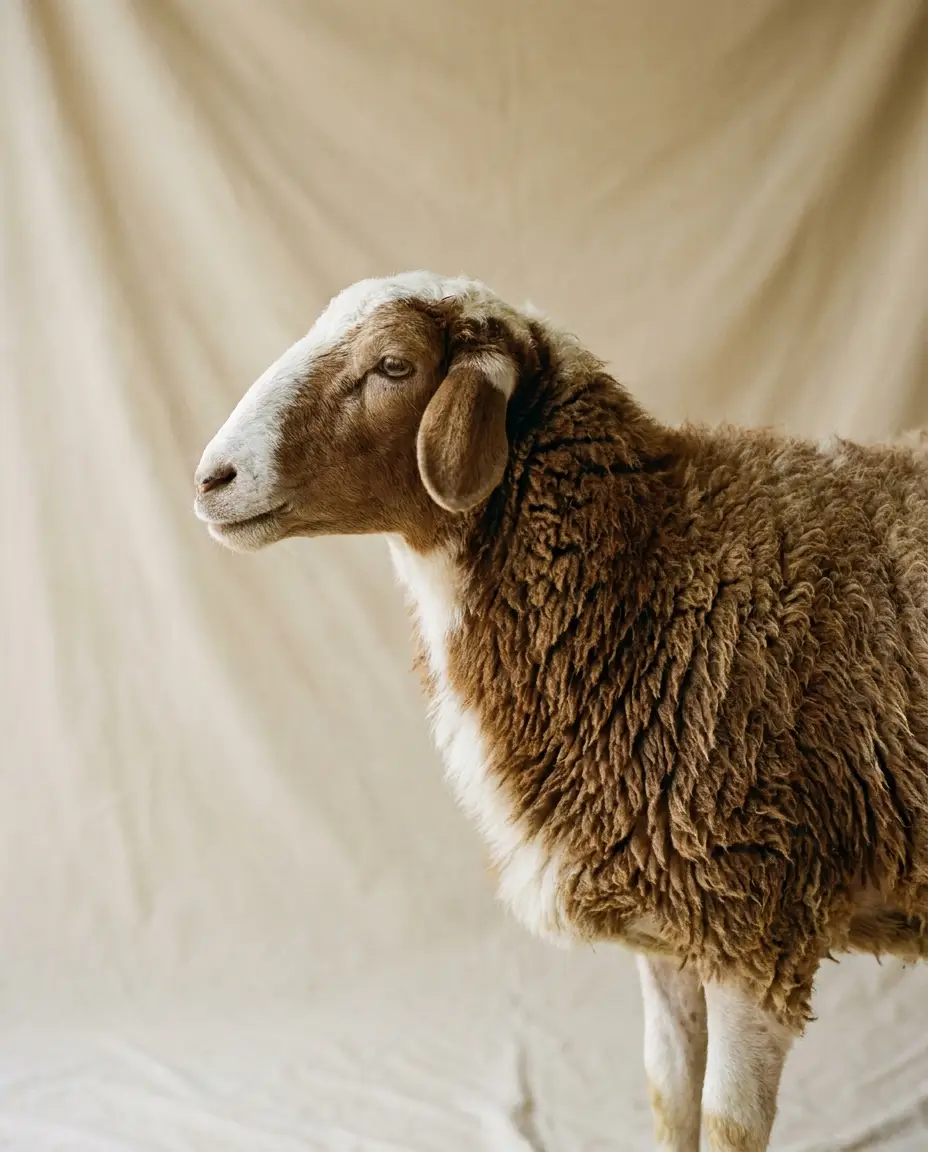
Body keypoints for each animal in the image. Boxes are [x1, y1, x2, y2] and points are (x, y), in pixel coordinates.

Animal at [194, 271, 928, 1152]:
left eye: (394, 365)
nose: (211, 479)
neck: (658, 573)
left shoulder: (757, 920)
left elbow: (725, 1127)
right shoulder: (670, 924)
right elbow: (668, 1097)